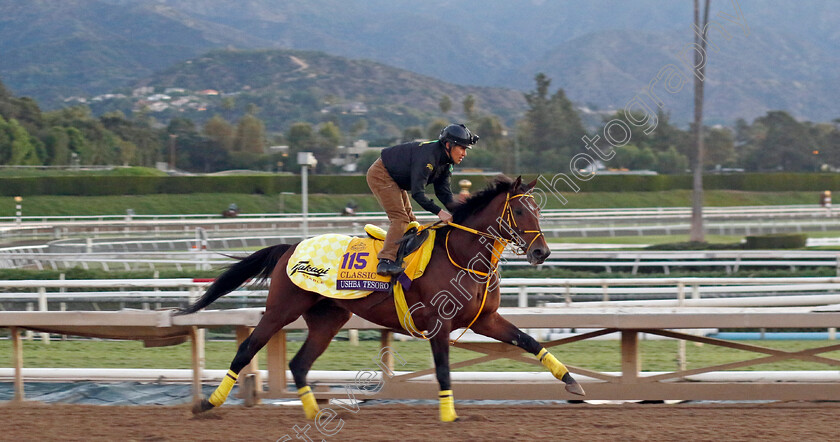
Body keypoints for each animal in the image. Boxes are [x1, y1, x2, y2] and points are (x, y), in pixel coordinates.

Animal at [177, 175, 584, 422]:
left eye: (539, 209)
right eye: (520, 210)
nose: (542, 252)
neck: (461, 254)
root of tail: (289, 247)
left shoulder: (485, 319)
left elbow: (529, 341)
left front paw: (572, 383)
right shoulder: (439, 324)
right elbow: (442, 369)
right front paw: (449, 414)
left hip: (328, 318)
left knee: (299, 363)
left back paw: (315, 413)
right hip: (281, 309)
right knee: (247, 350)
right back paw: (207, 403)